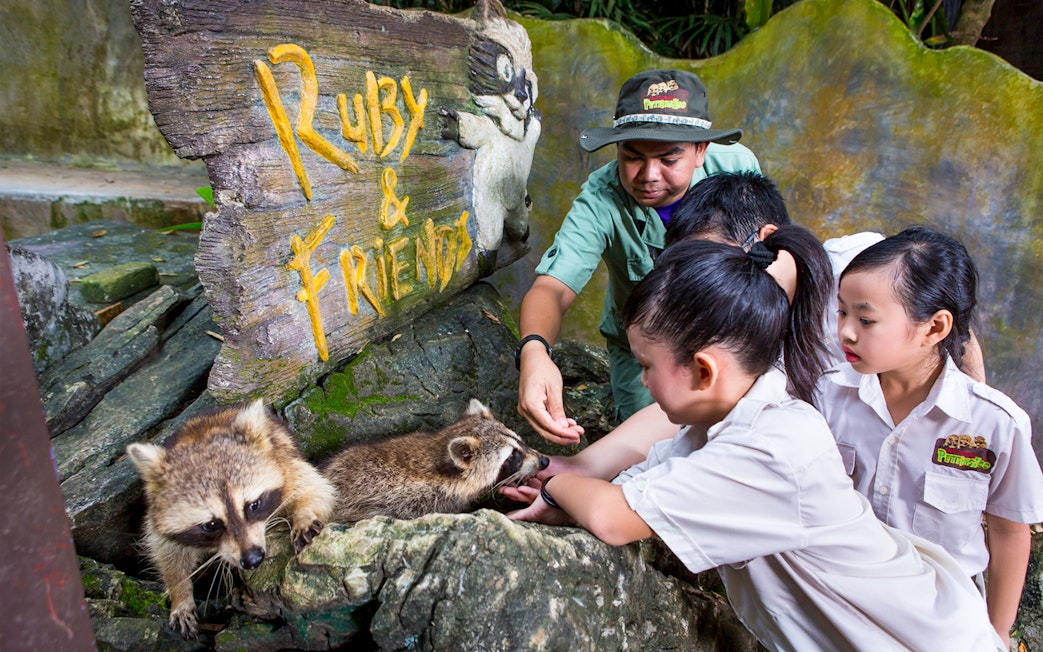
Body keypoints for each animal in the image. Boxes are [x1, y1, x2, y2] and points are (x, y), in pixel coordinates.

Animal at [125, 400, 336, 638]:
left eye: (253, 505)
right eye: (211, 524)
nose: (253, 559)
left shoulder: (286, 464)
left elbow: (315, 488)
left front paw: (304, 516)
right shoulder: (158, 514)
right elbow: (165, 550)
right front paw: (180, 592)